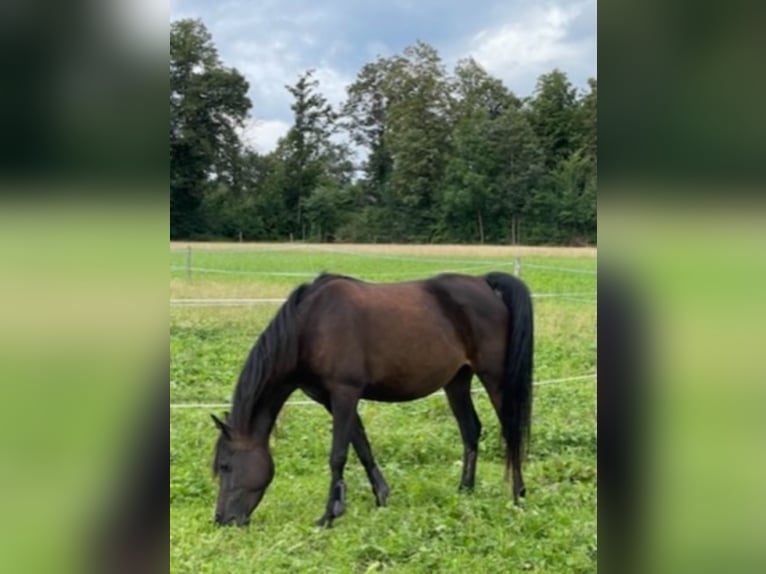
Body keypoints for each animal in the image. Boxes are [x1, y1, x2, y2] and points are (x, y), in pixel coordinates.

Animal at [210, 272, 536, 528]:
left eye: (226, 466)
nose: (222, 520)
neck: (310, 326)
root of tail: (484, 283)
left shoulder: (345, 392)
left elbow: (338, 454)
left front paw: (328, 516)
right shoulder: (333, 399)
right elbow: (362, 446)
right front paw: (379, 497)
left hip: (494, 377)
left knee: (511, 431)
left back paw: (518, 496)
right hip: (457, 381)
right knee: (470, 430)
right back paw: (465, 491)